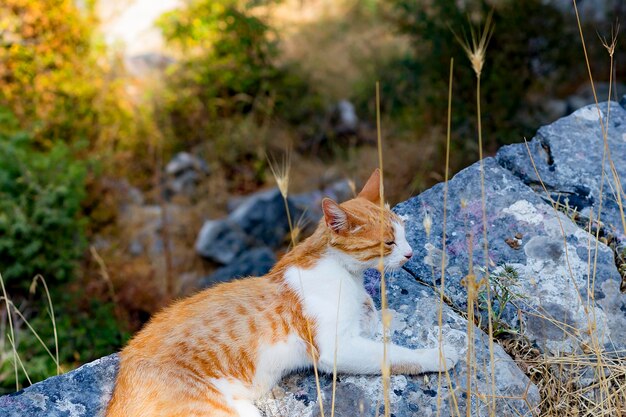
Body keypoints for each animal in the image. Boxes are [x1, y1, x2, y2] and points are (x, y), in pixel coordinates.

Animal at [106, 169, 458, 416]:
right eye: (389, 242)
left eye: (404, 231)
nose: (411, 253)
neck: (343, 271)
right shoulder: (336, 347)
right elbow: (395, 354)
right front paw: (437, 355)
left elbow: (372, 314)